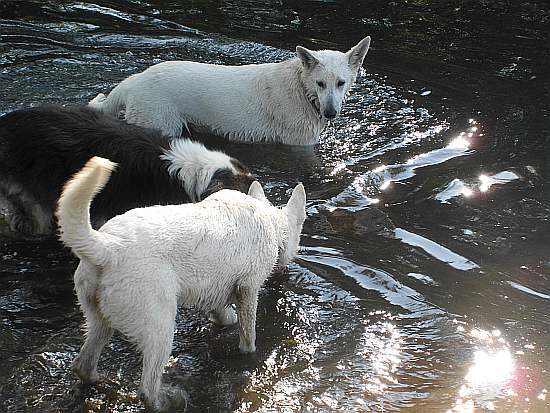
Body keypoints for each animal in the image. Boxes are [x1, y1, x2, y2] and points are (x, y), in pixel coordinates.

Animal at [57, 157, 306, 408]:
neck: (270, 221)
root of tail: (109, 246)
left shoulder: (216, 292)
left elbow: (226, 316)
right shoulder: (248, 290)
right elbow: (248, 335)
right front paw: (249, 355)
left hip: (101, 320)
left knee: (83, 364)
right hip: (161, 329)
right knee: (147, 389)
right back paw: (169, 401)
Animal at [90, 36, 374, 145]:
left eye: (341, 83)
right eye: (320, 83)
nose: (330, 113)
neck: (302, 89)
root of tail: (135, 79)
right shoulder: (300, 146)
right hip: (160, 123)